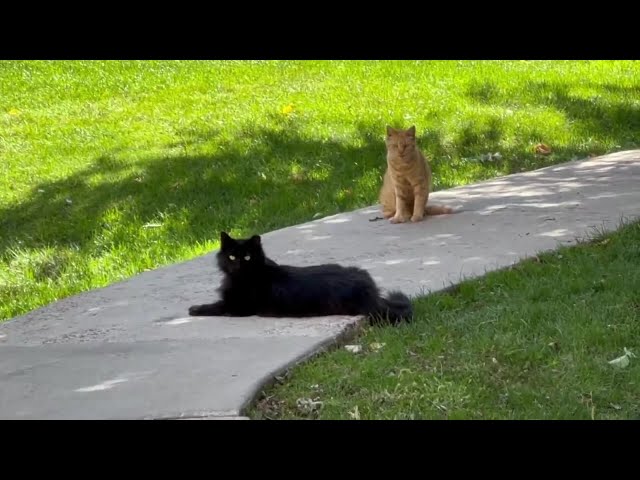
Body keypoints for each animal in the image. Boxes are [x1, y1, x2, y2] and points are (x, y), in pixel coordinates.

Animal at [188, 232, 412, 326]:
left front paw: (194, 309)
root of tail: (370, 291)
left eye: (247, 257)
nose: (238, 266)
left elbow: (215, 306)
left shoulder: (238, 307)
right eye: (232, 257)